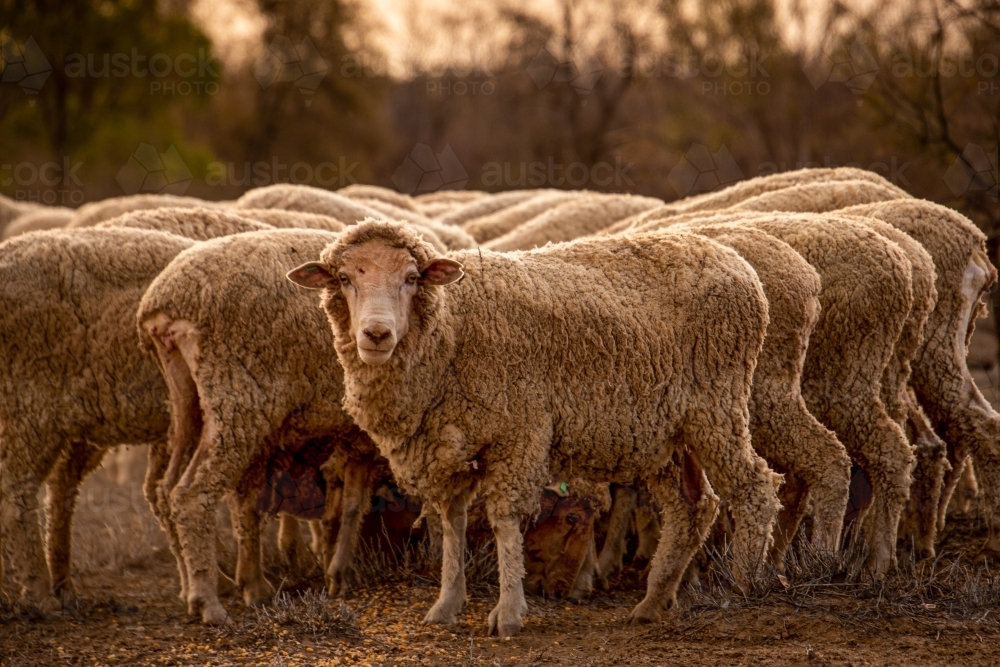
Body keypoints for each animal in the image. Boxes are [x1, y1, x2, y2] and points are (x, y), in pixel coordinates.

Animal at [137, 228, 407, 625]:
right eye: (344, 279)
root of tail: (164, 301)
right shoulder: (360, 439)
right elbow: (350, 506)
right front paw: (339, 573)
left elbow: (319, 507)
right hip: (238, 402)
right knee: (190, 495)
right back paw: (208, 602)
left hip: (188, 403)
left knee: (164, 491)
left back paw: (198, 586)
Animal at [288, 219, 780, 634]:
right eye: (344, 279)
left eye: (411, 278)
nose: (376, 335)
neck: (451, 328)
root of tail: (735, 262)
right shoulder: (449, 444)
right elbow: (452, 523)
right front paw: (446, 604)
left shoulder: (519, 432)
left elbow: (505, 521)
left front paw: (508, 612)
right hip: (664, 433)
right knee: (692, 507)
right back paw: (653, 602)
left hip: (717, 405)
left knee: (754, 488)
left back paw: (742, 586)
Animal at [834, 200, 1000, 558]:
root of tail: (974, 239)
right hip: (933, 349)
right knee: (945, 435)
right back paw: (923, 534)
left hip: (928, 348)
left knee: (971, 425)